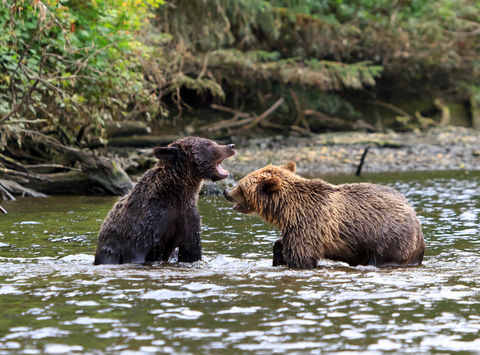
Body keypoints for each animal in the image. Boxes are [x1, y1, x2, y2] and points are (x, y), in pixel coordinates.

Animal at [93, 138, 235, 266]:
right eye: (208, 144)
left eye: (212, 141)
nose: (231, 146)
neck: (177, 195)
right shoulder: (148, 222)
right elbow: (137, 252)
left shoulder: (187, 218)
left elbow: (191, 252)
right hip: (110, 248)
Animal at [224, 163, 424, 268]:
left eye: (240, 186)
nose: (226, 191)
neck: (288, 210)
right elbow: (283, 245)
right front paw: (277, 254)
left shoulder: (311, 223)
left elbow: (301, 256)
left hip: (389, 238)